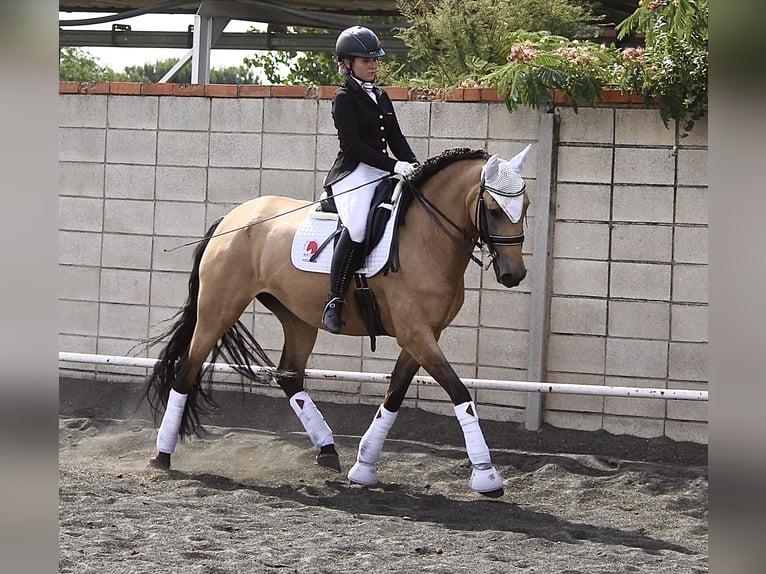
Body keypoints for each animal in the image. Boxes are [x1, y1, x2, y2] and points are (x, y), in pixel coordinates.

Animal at [144, 145, 532, 500]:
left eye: (525, 208)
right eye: (493, 210)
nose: (513, 275)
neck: (427, 237)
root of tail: (230, 219)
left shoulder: (423, 334)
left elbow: (394, 394)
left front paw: (364, 467)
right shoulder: (416, 333)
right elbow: (459, 393)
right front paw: (486, 475)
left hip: (297, 317)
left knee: (289, 374)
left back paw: (328, 450)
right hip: (218, 309)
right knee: (187, 369)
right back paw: (162, 456)